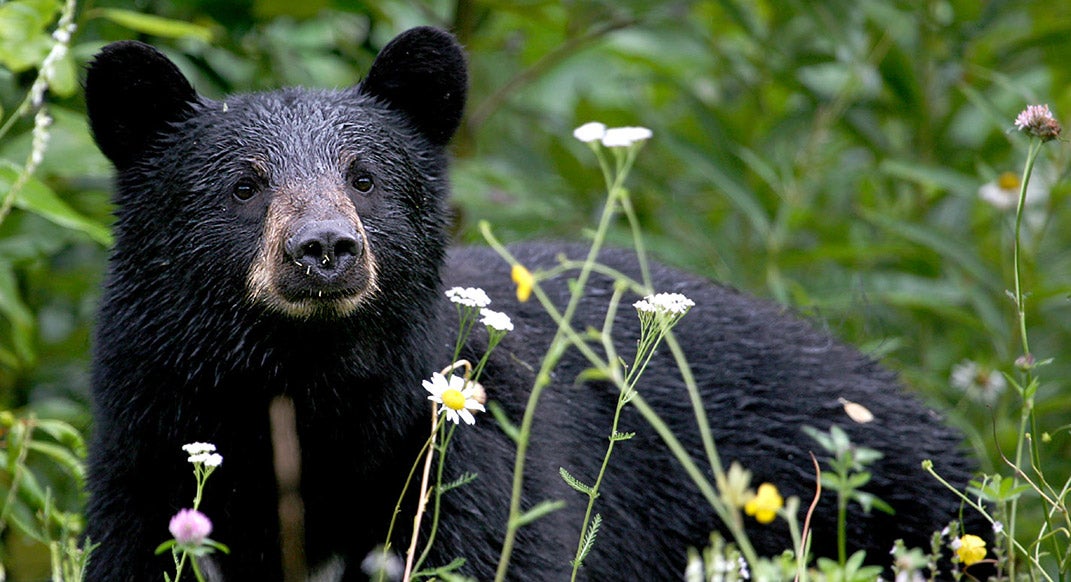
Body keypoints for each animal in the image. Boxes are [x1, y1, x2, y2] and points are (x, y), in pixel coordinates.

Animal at [82, 25, 985, 581]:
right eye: (245, 186)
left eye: (364, 178)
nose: (325, 249)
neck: (304, 390)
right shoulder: (150, 434)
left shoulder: (468, 452)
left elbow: (496, 550)